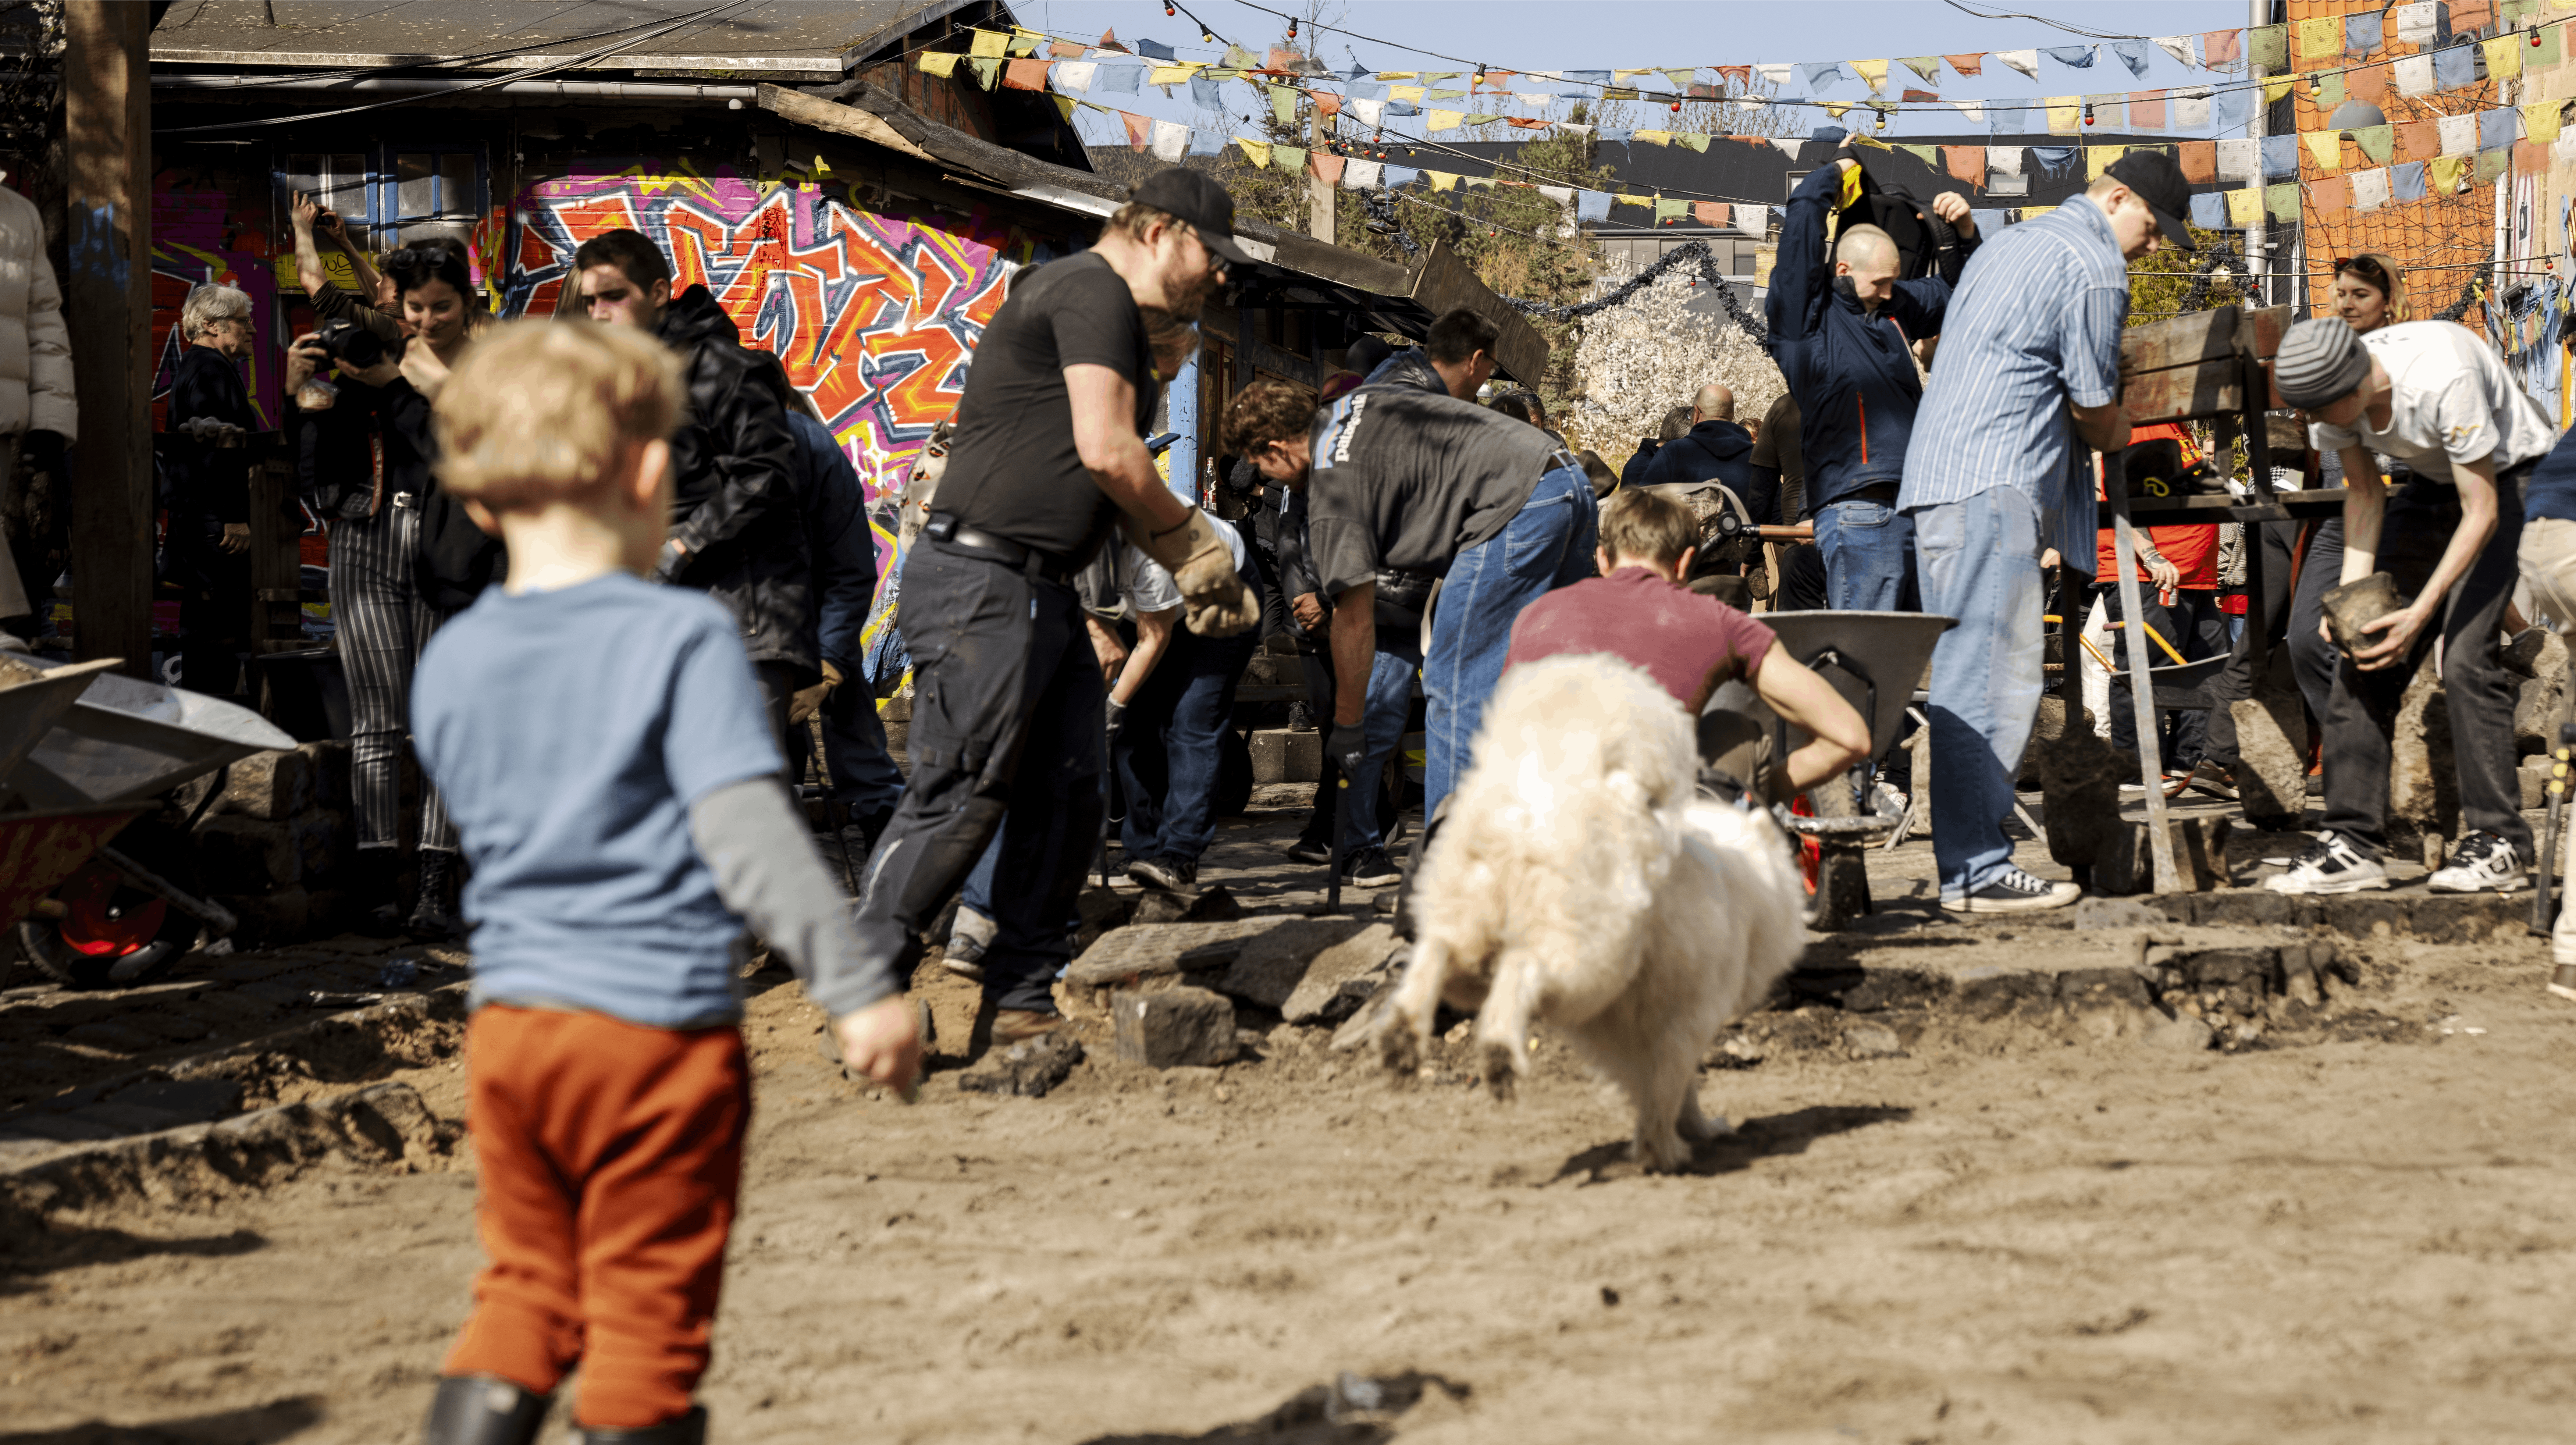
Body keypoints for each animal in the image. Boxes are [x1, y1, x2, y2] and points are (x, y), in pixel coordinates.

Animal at [1370, 654, 1813, 1174]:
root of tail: (1534, 805)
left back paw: (1405, 1033)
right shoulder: (1687, 1015)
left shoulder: (1627, 1029)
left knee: (1437, 953)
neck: (1746, 878)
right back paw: (1498, 1053)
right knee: (1521, 969)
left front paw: (1679, 1134)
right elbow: (1671, 1085)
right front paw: (1667, 1148)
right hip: (1584, 958)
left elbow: (1663, 1086)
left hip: (1471, 936)